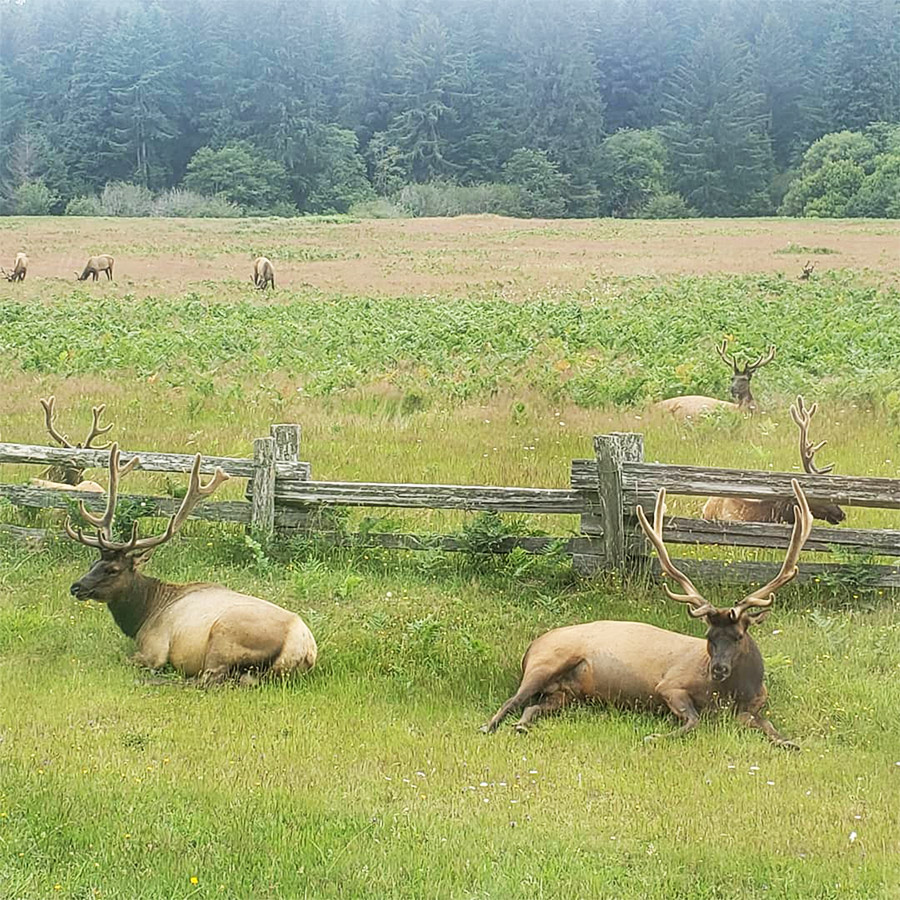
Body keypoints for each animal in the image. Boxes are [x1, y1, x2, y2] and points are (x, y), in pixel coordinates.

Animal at [65, 442, 316, 684]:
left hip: (224, 637)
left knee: (208, 680)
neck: (142, 615)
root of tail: (304, 650)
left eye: (113, 570)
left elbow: (125, 658)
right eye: (92, 564)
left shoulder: (154, 648)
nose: (76, 587)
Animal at [482, 482, 812, 748]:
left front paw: (790, 742)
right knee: (514, 700)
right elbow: (693, 721)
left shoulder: (753, 708)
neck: (737, 691)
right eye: (708, 636)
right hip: (545, 662)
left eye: (739, 636)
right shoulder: (669, 685)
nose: (718, 669)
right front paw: (654, 736)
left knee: (533, 707)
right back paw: (490, 726)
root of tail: (531, 645)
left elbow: (768, 725)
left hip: (566, 694)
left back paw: (522, 726)